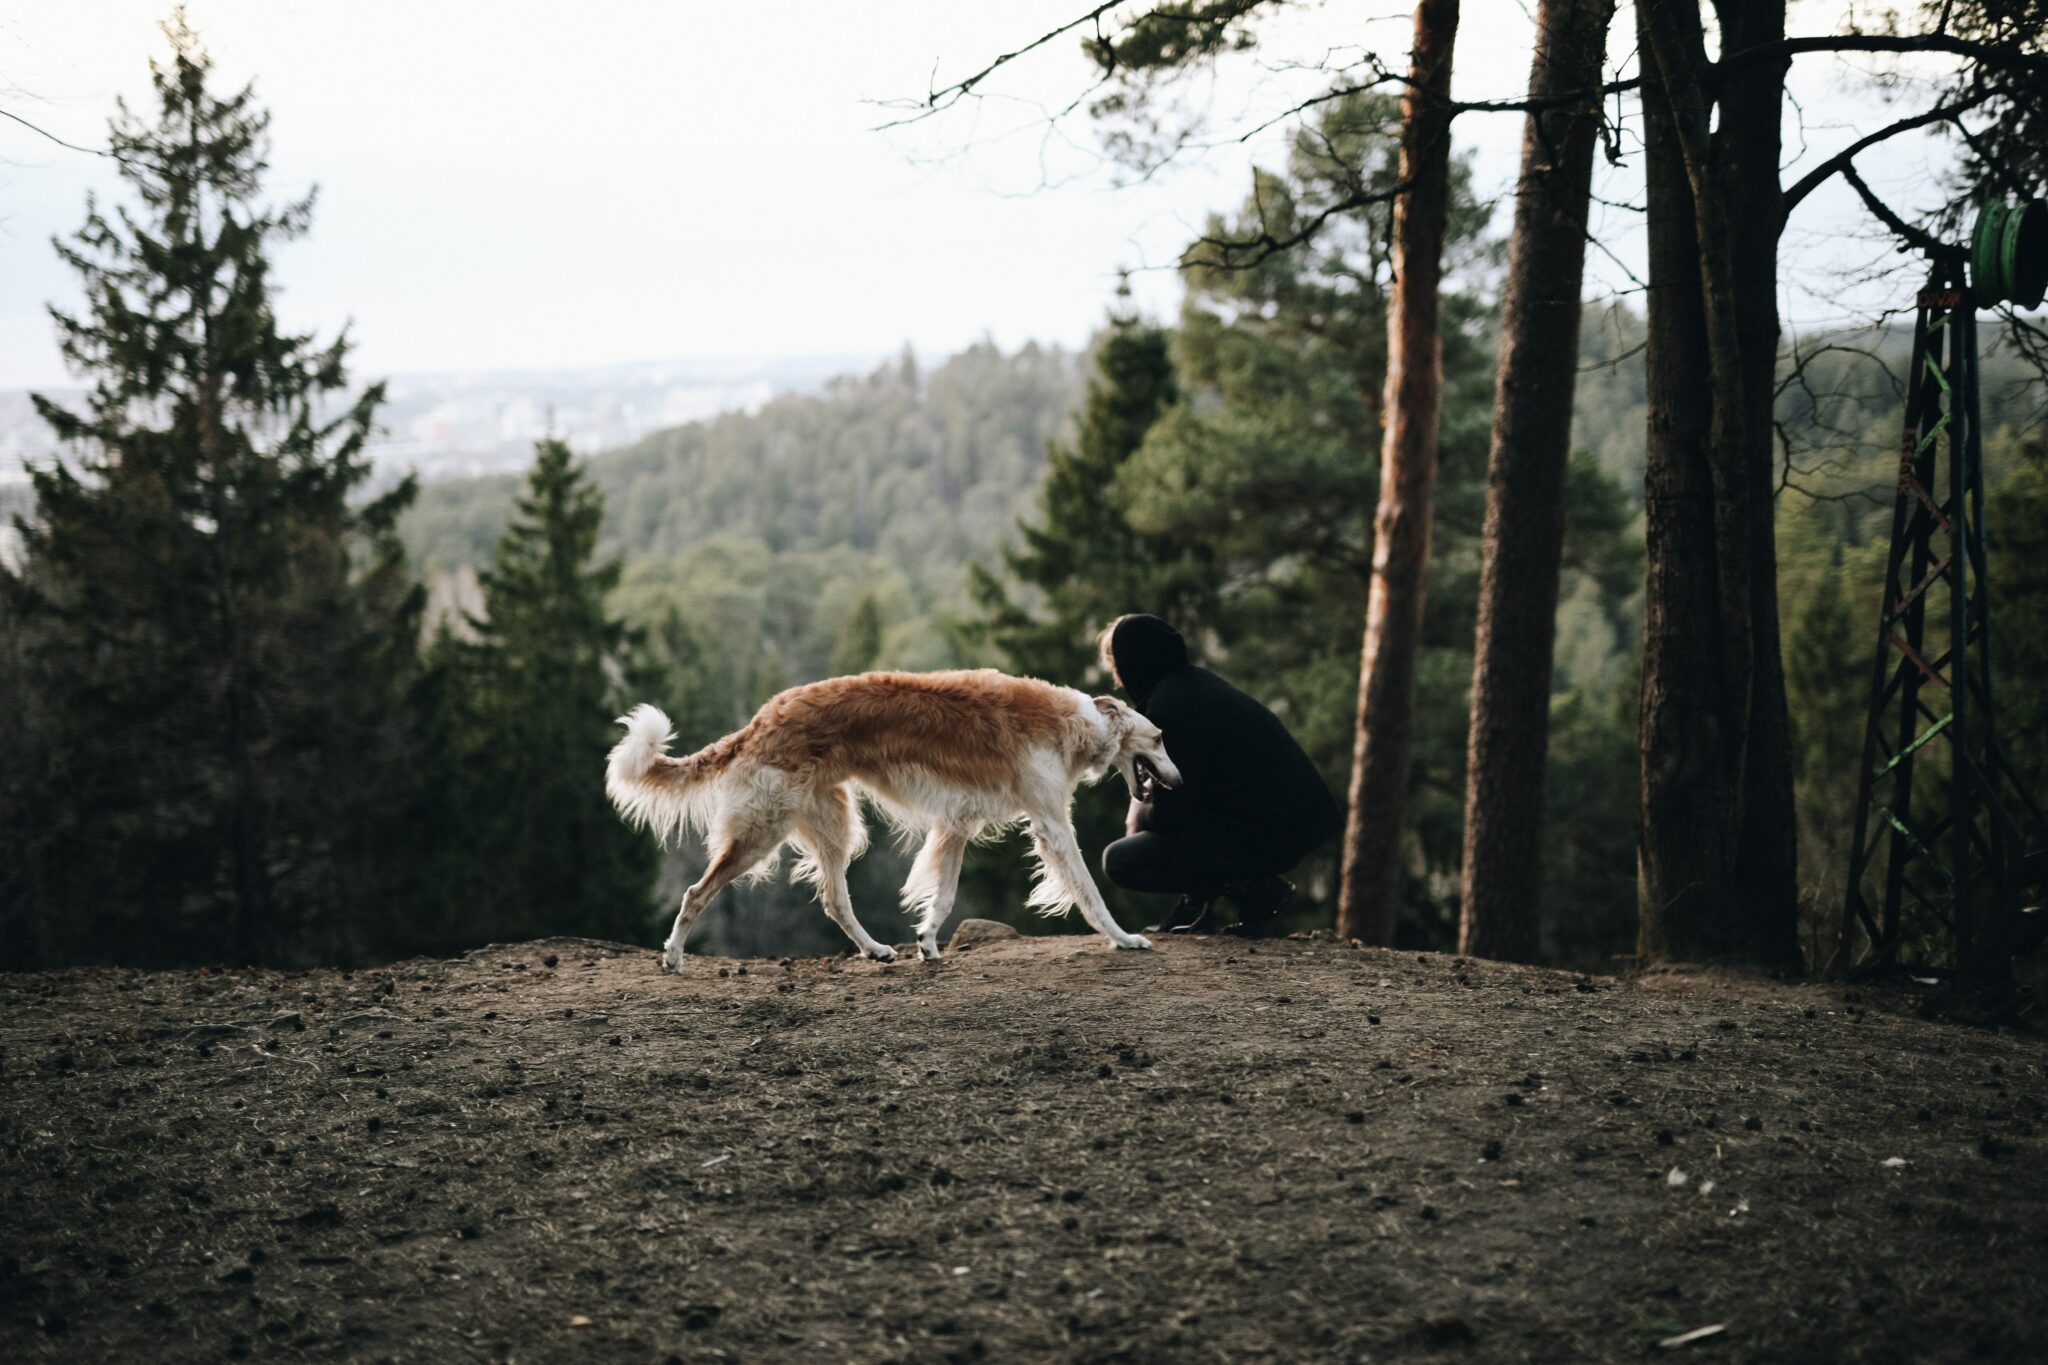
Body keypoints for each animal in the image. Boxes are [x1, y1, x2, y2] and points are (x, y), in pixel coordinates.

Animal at [598, 663, 1179, 965]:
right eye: (1159, 738)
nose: (1178, 781)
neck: (1079, 723)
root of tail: (762, 718)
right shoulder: (1052, 824)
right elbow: (1090, 892)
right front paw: (1125, 939)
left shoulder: (956, 824)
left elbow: (942, 896)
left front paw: (927, 943)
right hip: (765, 829)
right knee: (696, 892)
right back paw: (673, 955)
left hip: (835, 826)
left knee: (834, 900)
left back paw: (876, 949)